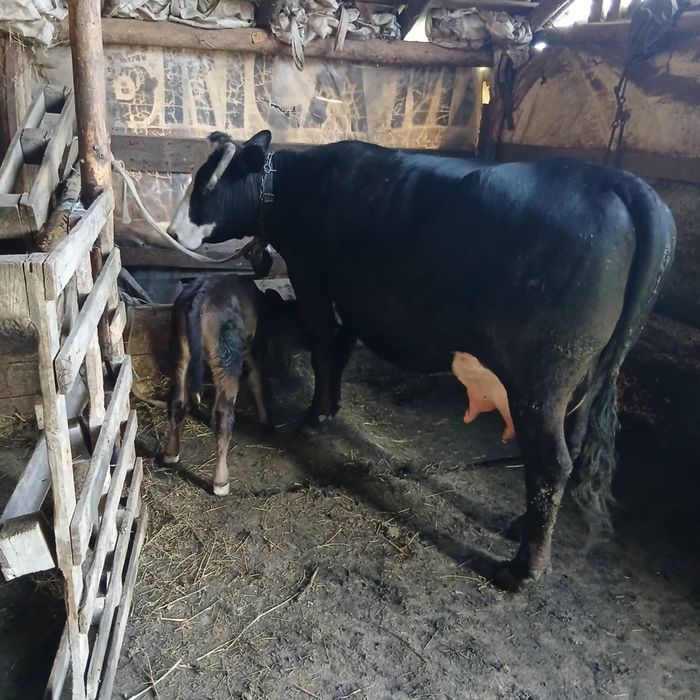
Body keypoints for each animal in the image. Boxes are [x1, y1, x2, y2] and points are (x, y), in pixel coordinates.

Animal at [167, 130, 675, 590]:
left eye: (208, 181)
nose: (171, 231)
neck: (298, 186)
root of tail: (615, 182)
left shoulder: (314, 283)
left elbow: (324, 352)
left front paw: (314, 417)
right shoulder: (352, 300)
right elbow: (340, 354)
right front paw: (330, 410)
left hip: (543, 377)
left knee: (552, 463)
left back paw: (522, 570)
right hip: (584, 375)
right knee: (572, 441)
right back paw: (522, 528)